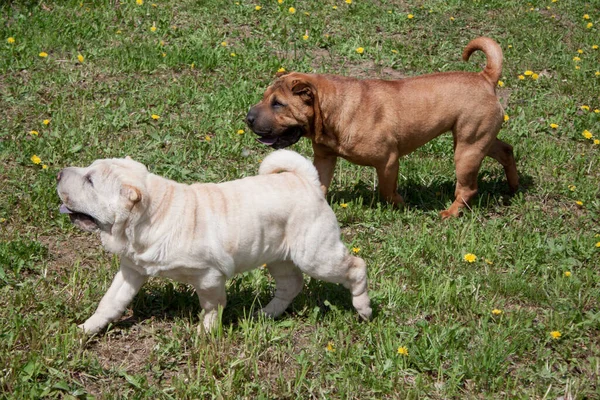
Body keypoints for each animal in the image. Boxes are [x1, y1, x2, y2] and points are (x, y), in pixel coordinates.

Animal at [58, 148, 372, 332]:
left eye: (90, 181)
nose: (59, 173)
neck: (151, 215)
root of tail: (307, 182)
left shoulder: (208, 276)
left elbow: (211, 306)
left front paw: (205, 334)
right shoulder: (131, 270)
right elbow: (110, 301)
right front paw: (87, 329)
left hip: (316, 255)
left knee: (356, 266)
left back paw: (364, 308)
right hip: (279, 257)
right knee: (290, 285)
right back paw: (265, 314)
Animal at [246, 36, 516, 219]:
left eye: (278, 104)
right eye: (265, 97)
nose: (248, 117)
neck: (332, 110)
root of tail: (485, 78)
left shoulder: (388, 161)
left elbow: (387, 191)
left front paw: (401, 205)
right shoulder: (324, 158)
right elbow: (319, 183)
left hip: (466, 150)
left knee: (467, 188)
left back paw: (449, 213)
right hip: (478, 140)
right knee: (506, 150)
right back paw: (513, 188)